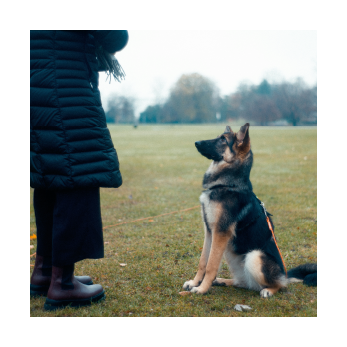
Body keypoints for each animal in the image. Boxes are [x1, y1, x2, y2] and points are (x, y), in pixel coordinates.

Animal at [185, 123, 318, 298]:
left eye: (223, 139)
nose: (196, 142)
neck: (227, 184)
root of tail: (284, 275)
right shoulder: (210, 231)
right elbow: (203, 262)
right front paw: (195, 283)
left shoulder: (220, 233)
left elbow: (211, 266)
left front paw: (201, 289)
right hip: (231, 253)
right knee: (243, 283)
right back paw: (223, 281)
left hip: (254, 256)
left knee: (279, 285)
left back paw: (269, 290)